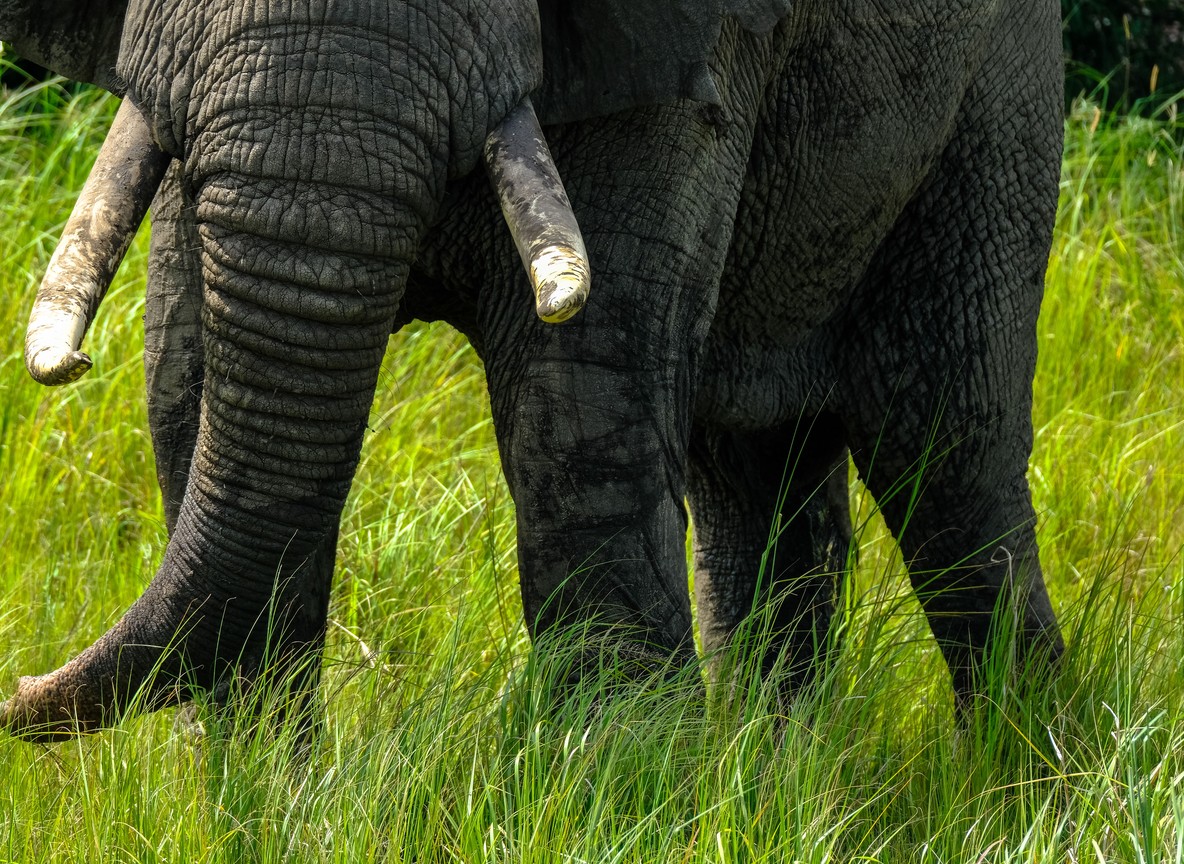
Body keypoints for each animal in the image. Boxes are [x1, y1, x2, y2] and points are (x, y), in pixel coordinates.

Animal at [0, 0, 1065, 739]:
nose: (17, 685)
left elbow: (581, 421)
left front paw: (633, 786)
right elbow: (186, 388)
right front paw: (263, 803)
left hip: (998, 95)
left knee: (949, 460)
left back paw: (1016, 781)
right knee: (756, 471)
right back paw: (778, 772)